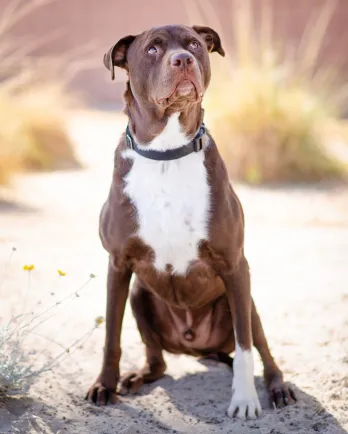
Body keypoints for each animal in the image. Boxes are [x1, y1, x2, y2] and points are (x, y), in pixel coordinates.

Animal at [85, 24, 294, 420]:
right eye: (152, 50)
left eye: (195, 44)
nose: (182, 59)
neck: (167, 153)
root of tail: (195, 346)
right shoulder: (118, 265)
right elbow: (110, 337)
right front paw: (104, 385)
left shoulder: (235, 264)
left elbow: (246, 348)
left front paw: (245, 399)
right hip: (139, 295)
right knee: (158, 361)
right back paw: (138, 377)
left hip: (245, 300)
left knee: (261, 347)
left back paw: (278, 387)